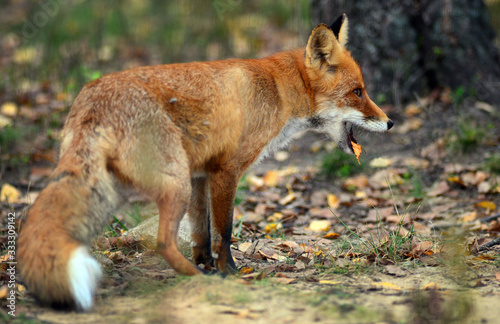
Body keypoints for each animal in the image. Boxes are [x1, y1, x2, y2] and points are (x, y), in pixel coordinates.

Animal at [18, 15, 394, 312]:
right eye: (358, 92)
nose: (390, 123)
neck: (278, 91)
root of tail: (90, 98)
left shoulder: (201, 175)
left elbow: (201, 233)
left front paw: (211, 267)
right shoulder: (225, 171)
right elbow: (223, 231)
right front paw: (229, 273)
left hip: (125, 187)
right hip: (174, 183)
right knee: (162, 241)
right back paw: (194, 278)